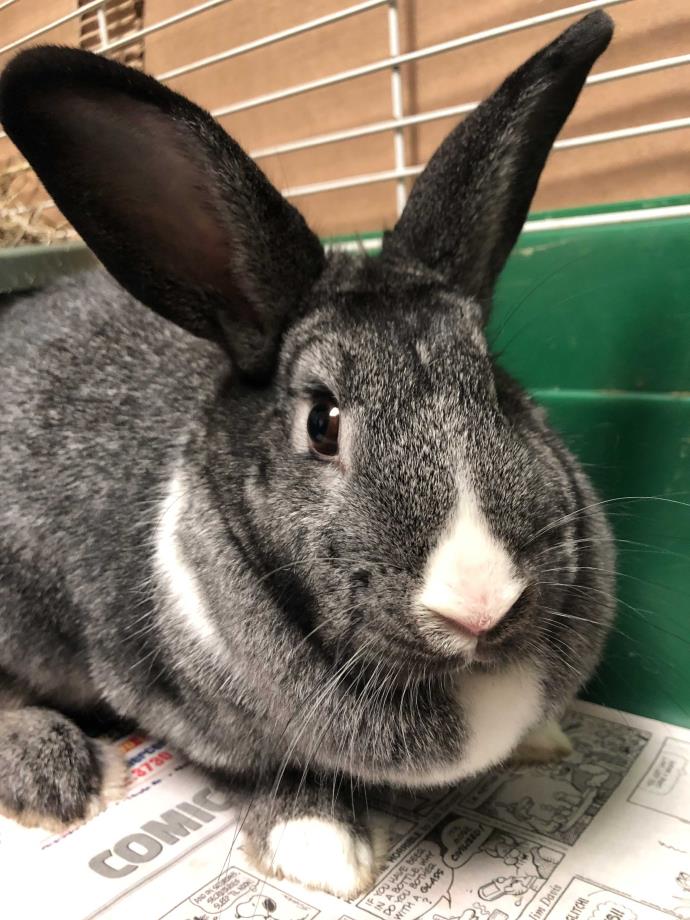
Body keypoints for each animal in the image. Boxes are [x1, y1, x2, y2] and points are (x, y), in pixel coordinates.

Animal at [0, 7, 612, 900]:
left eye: (496, 384)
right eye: (322, 422)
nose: (481, 605)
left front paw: (546, 739)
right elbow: (269, 772)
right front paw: (324, 850)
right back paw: (59, 779)